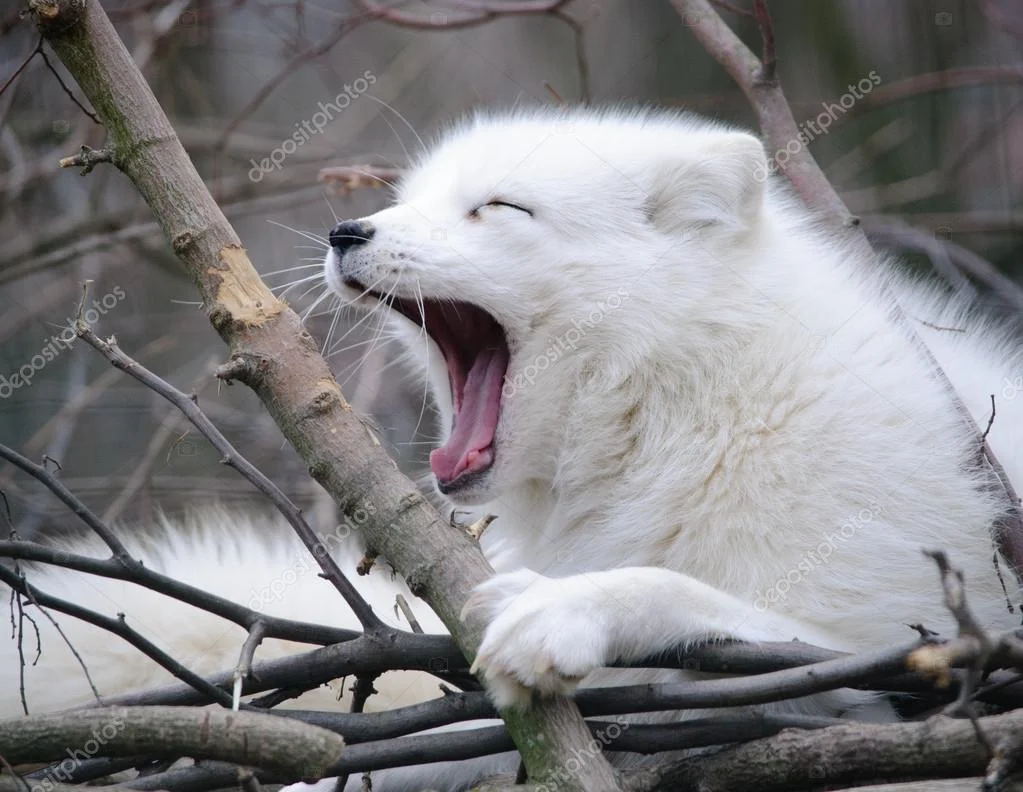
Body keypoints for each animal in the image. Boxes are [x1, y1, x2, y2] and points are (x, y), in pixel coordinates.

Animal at [4, 106, 1023, 791]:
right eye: (410, 201)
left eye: (498, 208)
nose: (346, 230)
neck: (687, 402)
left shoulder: (908, 664)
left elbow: (709, 606)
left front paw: (566, 608)